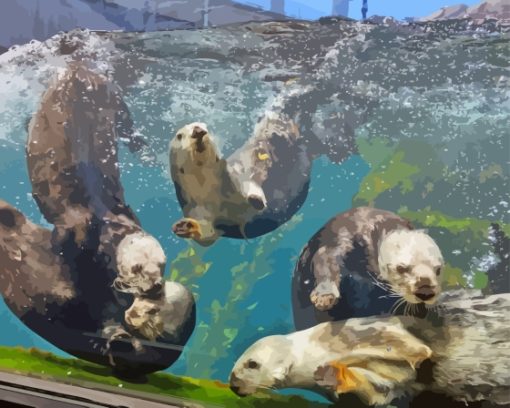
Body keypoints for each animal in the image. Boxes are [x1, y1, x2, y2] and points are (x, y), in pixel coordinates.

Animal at [169, 111, 312, 245]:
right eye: (179, 135)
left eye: (206, 127)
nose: (198, 131)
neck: (204, 181)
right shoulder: (195, 206)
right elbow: (207, 235)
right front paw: (186, 226)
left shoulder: (233, 177)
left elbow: (246, 182)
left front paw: (255, 199)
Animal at [290, 207, 442, 328]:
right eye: (401, 268)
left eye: (438, 270)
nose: (425, 291)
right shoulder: (343, 236)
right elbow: (325, 258)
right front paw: (325, 295)